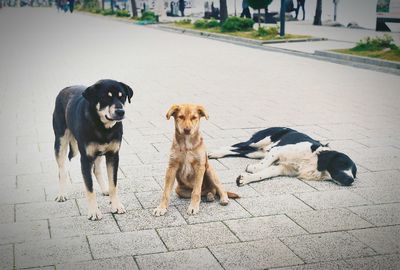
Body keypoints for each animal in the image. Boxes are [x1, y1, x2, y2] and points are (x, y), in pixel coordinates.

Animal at [52, 79, 134, 220]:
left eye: (122, 96)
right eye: (106, 97)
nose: (120, 111)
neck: (103, 128)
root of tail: (66, 88)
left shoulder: (113, 155)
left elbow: (113, 184)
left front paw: (116, 205)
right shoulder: (85, 159)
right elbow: (89, 188)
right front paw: (94, 212)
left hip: (98, 152)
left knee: (96, 170)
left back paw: (105, 189)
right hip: (60, 141)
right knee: (62, 169)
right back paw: (62, 194)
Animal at [208, 127, 358, 187]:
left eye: (354, 173)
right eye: (342, 164)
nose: (350, 180)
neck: (312, 160)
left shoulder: (281, 168)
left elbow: (264, 174)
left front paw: (245, 179)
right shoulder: (278, 150)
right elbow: (261, 167)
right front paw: (252, 169)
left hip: (255, 153)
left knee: (237, 150)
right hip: (258, 142)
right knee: (233, 146)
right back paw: (213, 152)